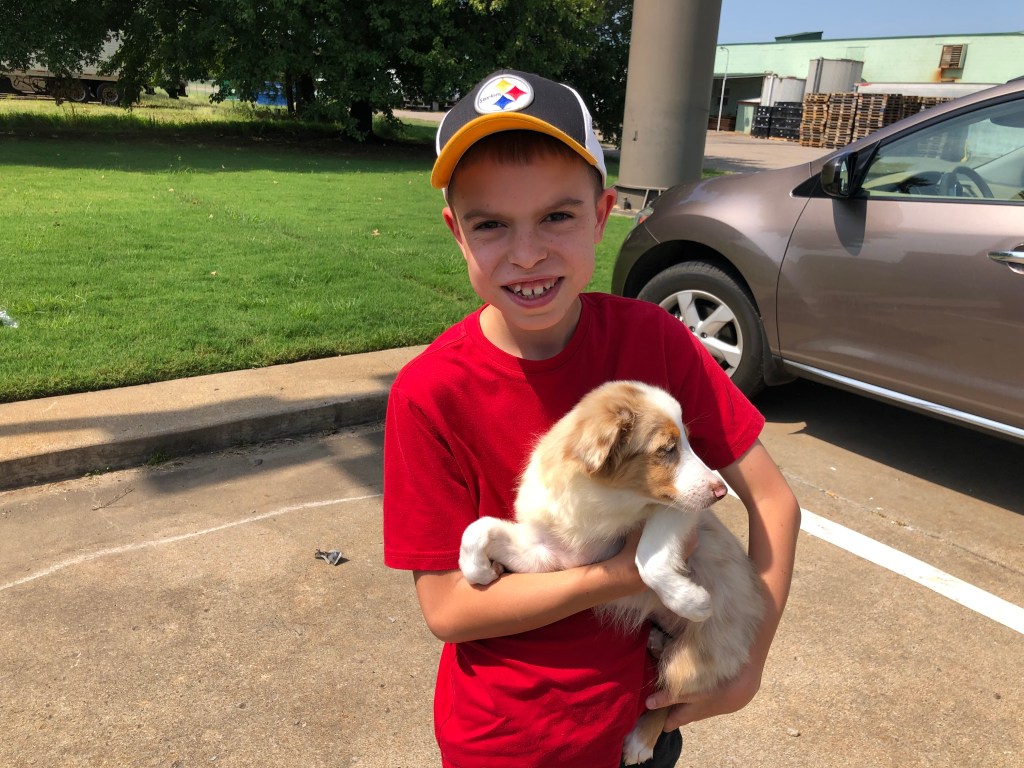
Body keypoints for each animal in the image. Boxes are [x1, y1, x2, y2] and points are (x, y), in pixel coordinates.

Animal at [459, 380, 764, 765]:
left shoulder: (678, 511)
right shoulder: (552, 556)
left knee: (672, 696)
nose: (721, 491)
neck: (606, 503)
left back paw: (641, 739)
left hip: (702, 655)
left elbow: (647, 559)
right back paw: (657, 642)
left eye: (687, 441)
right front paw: (479, 571)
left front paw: (693, 602)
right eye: (668, 449)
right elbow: (478, 527)